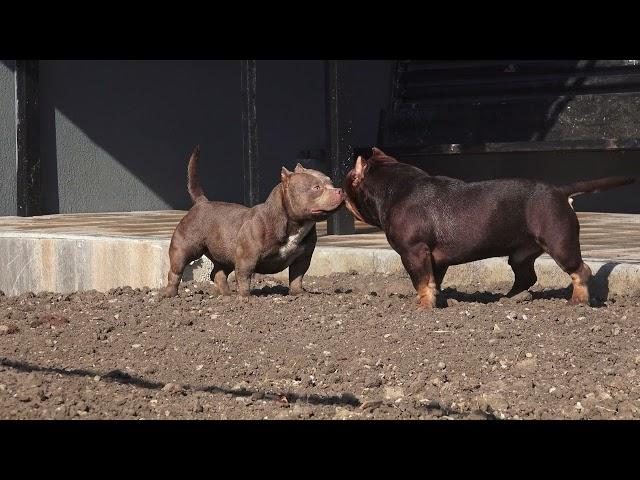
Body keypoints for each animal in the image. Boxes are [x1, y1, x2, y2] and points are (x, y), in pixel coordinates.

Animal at [344, 148, 636, 310]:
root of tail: (560, 191)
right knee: (527, 278)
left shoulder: (413, 253)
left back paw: (578, 301)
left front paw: (424, 307)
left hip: (560, 243)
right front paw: (434, 301)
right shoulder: (435, 259)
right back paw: (509, 299)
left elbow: (422, 282)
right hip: (521, 254)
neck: (398, 187)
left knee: (580, 271)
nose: (341, 194)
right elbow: (434, 282)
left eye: (348, 185)